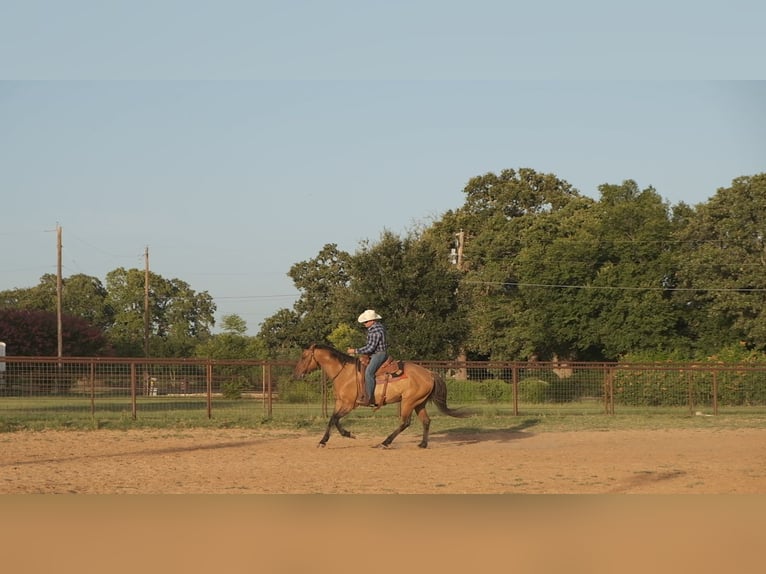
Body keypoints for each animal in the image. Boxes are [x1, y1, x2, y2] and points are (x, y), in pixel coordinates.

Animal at [294, 342, 472, 450]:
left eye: (303, 356)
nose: (296, 374)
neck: (345, 373)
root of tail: (429, 373)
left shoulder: (350, 404)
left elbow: (335, 419)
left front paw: (346, 435)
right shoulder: (341, 402)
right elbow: (333, 419)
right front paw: (325, 440)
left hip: (408, 402)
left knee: (405, 422)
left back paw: (385, 443)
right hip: (418, 403)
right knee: (426, 421)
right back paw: (422, 444)